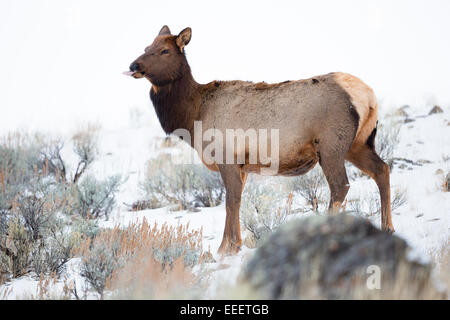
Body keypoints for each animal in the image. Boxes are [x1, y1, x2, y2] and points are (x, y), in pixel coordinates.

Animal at [125, 25, 396, 255]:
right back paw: (388, 227)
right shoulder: (243, 165)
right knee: (382, 169)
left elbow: (231, 201)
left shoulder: (227, 157)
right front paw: (234, 245)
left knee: (340, 185)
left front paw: (226, 248)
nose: (134, 64)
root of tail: (368, 96)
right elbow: (236, 201)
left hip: (331, 145)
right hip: (359, 143)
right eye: (147, 46)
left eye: (164, 50)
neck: (192, 116)